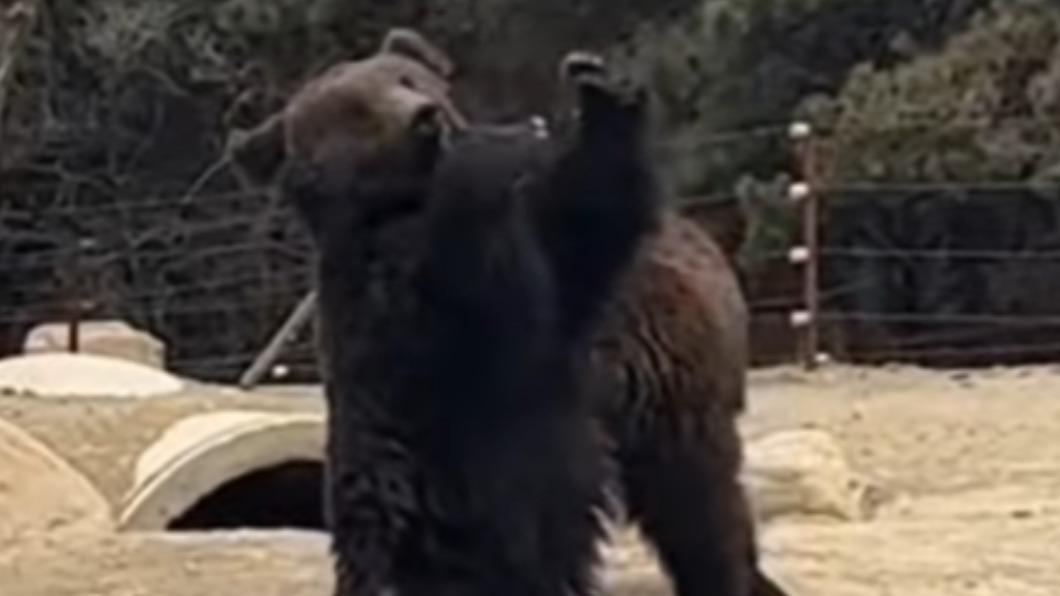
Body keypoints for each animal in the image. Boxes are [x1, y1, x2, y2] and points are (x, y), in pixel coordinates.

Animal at [228, 29, 789, 596]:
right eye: (355, 110)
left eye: (407, 79)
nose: (424, 117)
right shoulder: (396, 334)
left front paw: (598, 85)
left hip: (669, 394)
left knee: (697, 506)